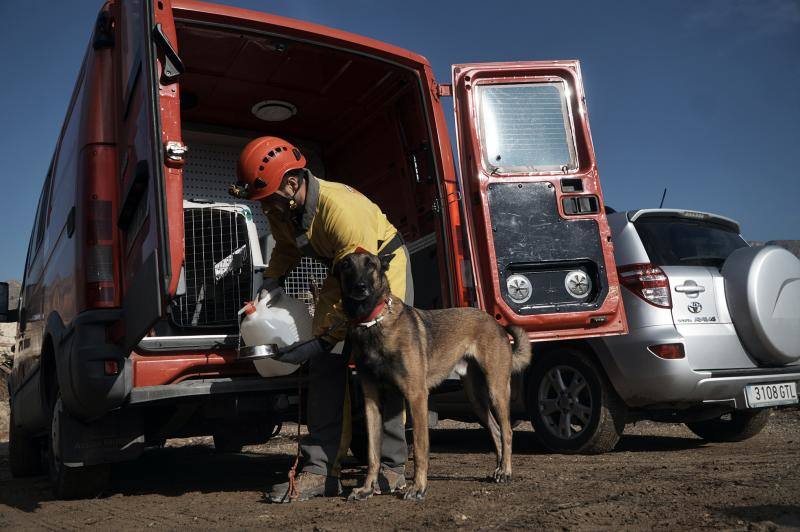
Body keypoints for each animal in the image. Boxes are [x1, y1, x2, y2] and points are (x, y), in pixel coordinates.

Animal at [334, 251, 536, 500]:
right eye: (346, 265)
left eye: (370, 264)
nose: (360, 287)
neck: (371, 322)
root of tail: (493, 321)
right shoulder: (371, 402)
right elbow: (373, 452)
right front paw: (366, 488)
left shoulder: (417, 396)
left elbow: (420, 449)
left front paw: (418, 487)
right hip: (476, 400)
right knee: (496, 431)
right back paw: (498, 469)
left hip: (495, 390)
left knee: (506, 431)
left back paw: (506, 471)